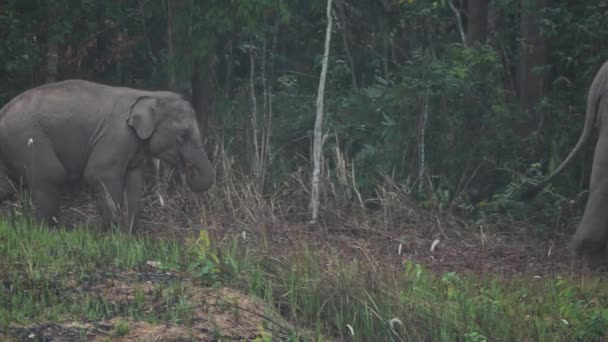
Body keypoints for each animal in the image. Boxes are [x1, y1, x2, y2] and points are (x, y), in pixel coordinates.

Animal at [0, 79, 216, 230]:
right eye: (182, 136)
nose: (188, 172)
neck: (149, 95)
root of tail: (3, 110)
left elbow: (134, 181)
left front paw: (127, 233)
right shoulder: (116, 137)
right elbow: (98, 173)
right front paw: (94, 227)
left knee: (8, 186)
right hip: (27, 139)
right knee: (51, 175)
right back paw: (52, 230)